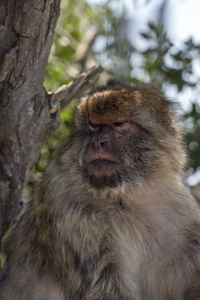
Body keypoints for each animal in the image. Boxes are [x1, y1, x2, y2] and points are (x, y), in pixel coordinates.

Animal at [0, 79, 200, 300]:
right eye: (92, 125)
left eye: (119, 124)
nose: (98, 142)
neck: (127, 200)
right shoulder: (67, 208)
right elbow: (101, 282)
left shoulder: (182, 213)